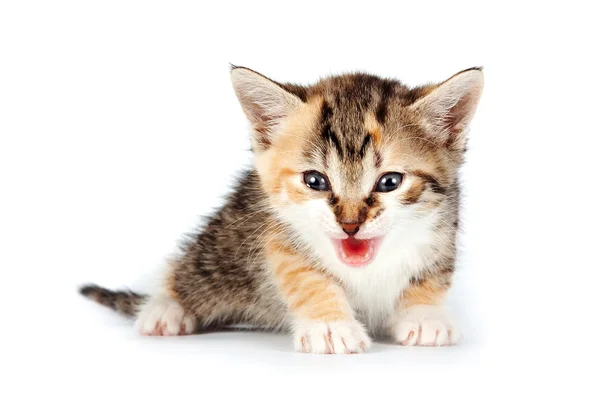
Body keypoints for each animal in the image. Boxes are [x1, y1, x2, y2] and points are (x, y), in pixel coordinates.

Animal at [79, 65, 482, 354]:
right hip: (225, 247)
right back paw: (164, 308)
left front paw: (425, 315)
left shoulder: (444, 222)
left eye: (390, 182)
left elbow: (433, 272)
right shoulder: (276, 230)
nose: (350, 224)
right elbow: (303, 275)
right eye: (315, 180)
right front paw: (329, 325)